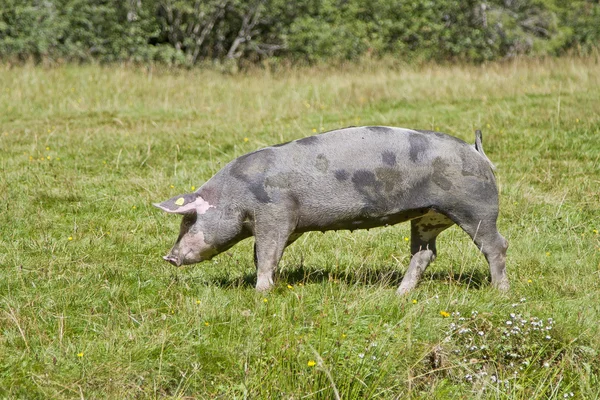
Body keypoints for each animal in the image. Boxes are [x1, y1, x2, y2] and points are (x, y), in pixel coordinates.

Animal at [154, 126, 506, 296]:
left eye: (189, 219)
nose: (168, 257)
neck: (236, 193)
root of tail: (478, 153)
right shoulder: (290, 225)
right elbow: (267, 255)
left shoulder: (275, 214)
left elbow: (266, 255)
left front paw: (261, 293)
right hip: (428, 216)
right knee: (425, 253)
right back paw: (400, 294)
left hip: (475, 208)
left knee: (496, 246)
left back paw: (499, 293)